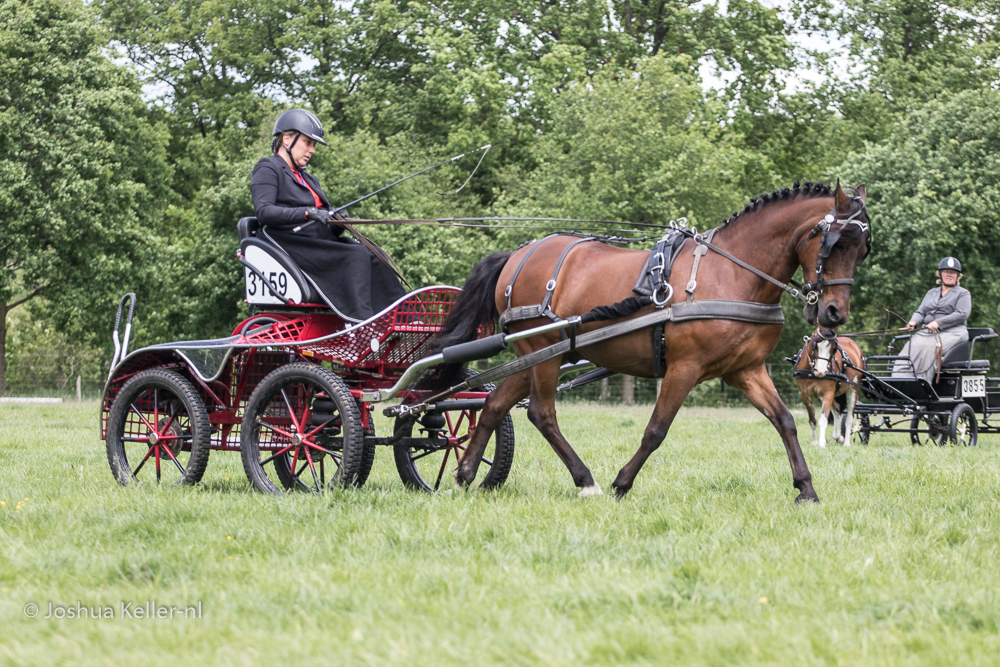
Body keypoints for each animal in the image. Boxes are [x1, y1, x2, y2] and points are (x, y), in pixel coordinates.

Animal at [428, 180, 868, 504]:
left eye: (862, 249)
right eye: (836, 243)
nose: (834, 314)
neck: (732, 272)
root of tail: (519, 255)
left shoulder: (746, 369)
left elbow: (785, 421)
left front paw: (806, 488)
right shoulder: (685, 368)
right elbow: (656, 429)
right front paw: (622, 483)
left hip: (535, 356)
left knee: (494, 404)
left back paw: (465, 475)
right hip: (543, 353)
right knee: (542, 413)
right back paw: (585, 480)